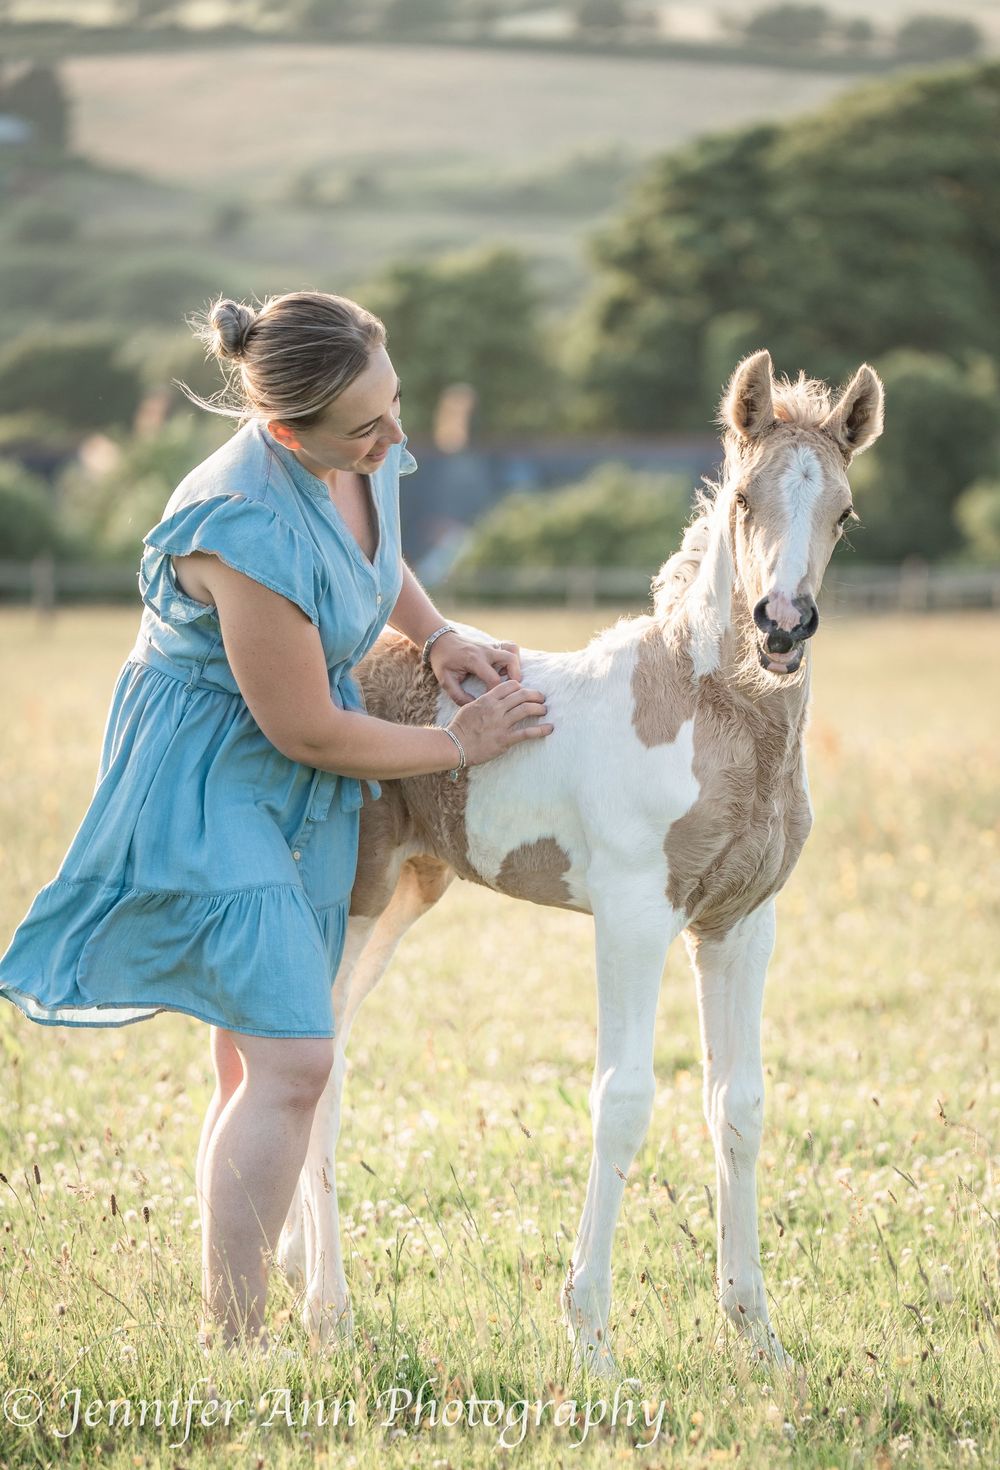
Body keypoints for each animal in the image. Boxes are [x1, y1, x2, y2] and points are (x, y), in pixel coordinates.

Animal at [277, 348, 885, 1373]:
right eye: (746, 499)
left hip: (406, 896)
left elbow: (740, 1105)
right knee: (310, 1058)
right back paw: (328, 1313)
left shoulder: (740, 925)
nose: (781, 627)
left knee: (323, 1053)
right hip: (350, 900)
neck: (705, 712)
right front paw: (592, 1339)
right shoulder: (635, 917)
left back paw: (288, 1278)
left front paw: (760, 1341)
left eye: (843, 512)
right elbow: (624, 1100)